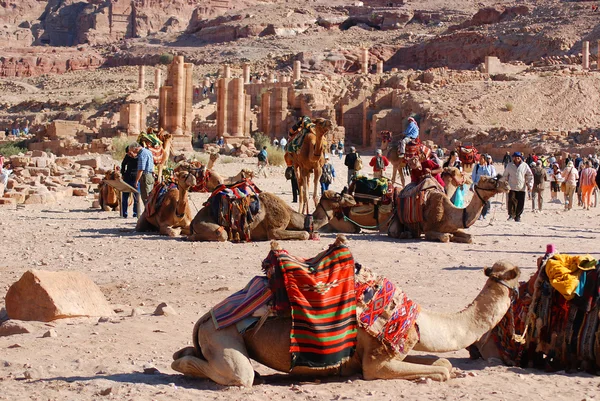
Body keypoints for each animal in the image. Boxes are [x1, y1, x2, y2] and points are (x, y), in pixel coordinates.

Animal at [172, 236, 520, 386]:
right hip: (223, 333)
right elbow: (441, 369)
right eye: (519, 275)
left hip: (210, 336)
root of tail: (205, 318)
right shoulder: (378, 360)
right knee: (239, 374)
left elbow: (443, 362)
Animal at [188, 188, 356, 241]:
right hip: (205, 224)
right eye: (337, 195)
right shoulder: (275, 229)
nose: (353, 199)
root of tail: (194, 220)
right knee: (220, 234)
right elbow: (304, 234)